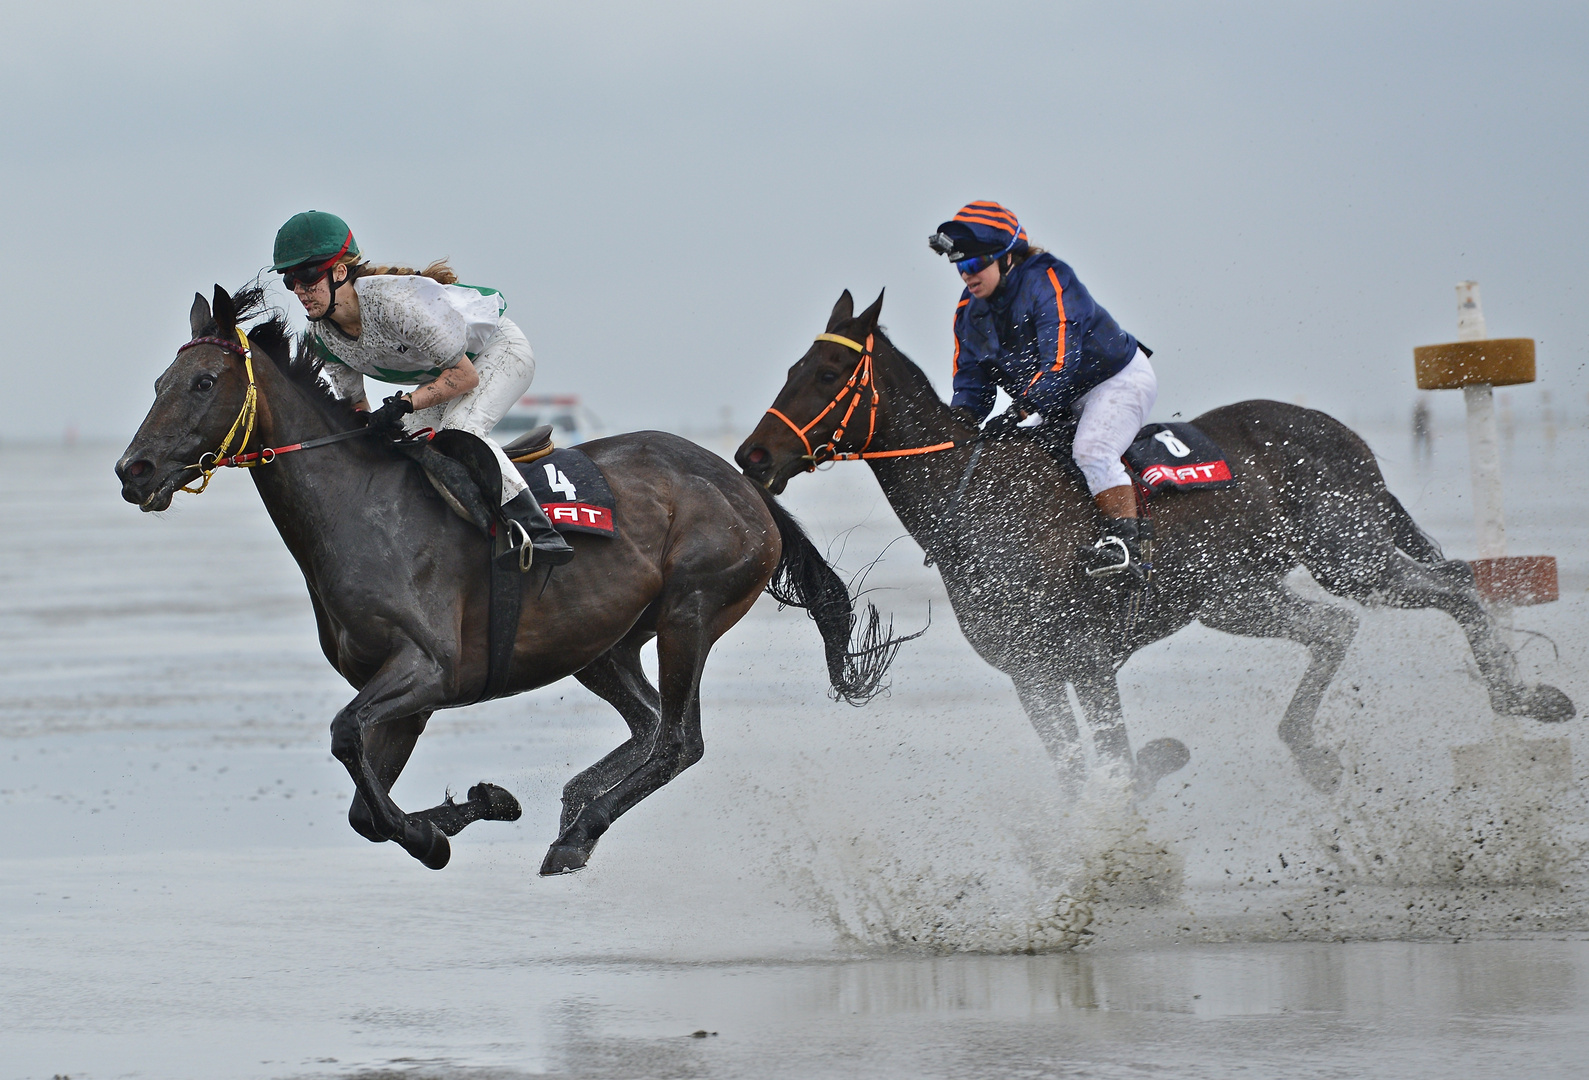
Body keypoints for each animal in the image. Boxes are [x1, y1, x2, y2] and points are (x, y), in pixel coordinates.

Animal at [115, 289, 902, 876]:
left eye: (202, 383)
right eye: (157, 384)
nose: (133, 471)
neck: (362, 510)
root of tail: (741, 483)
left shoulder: (425, 671)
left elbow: (344, 740)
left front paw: (435, 837)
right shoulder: (403, 696)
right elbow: (364, 809)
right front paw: (484, 805)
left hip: (691, 613)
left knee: (681, 742)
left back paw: (579, 832)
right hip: (602, 643)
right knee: (650, 726)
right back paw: (576, 802)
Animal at [734, 290, 1576, 797]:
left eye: (830, 370)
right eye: (793, 365)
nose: (753, 457)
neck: (975, 504)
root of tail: (1335, 430)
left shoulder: (1085, 662)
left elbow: (1111, 764)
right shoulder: (1032, 676)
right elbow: (1078, 774)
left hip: (1349, 554)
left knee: (1457, 585)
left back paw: (1525, 697)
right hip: (1237, 594)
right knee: (1335, 627)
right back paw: (1309, 747)